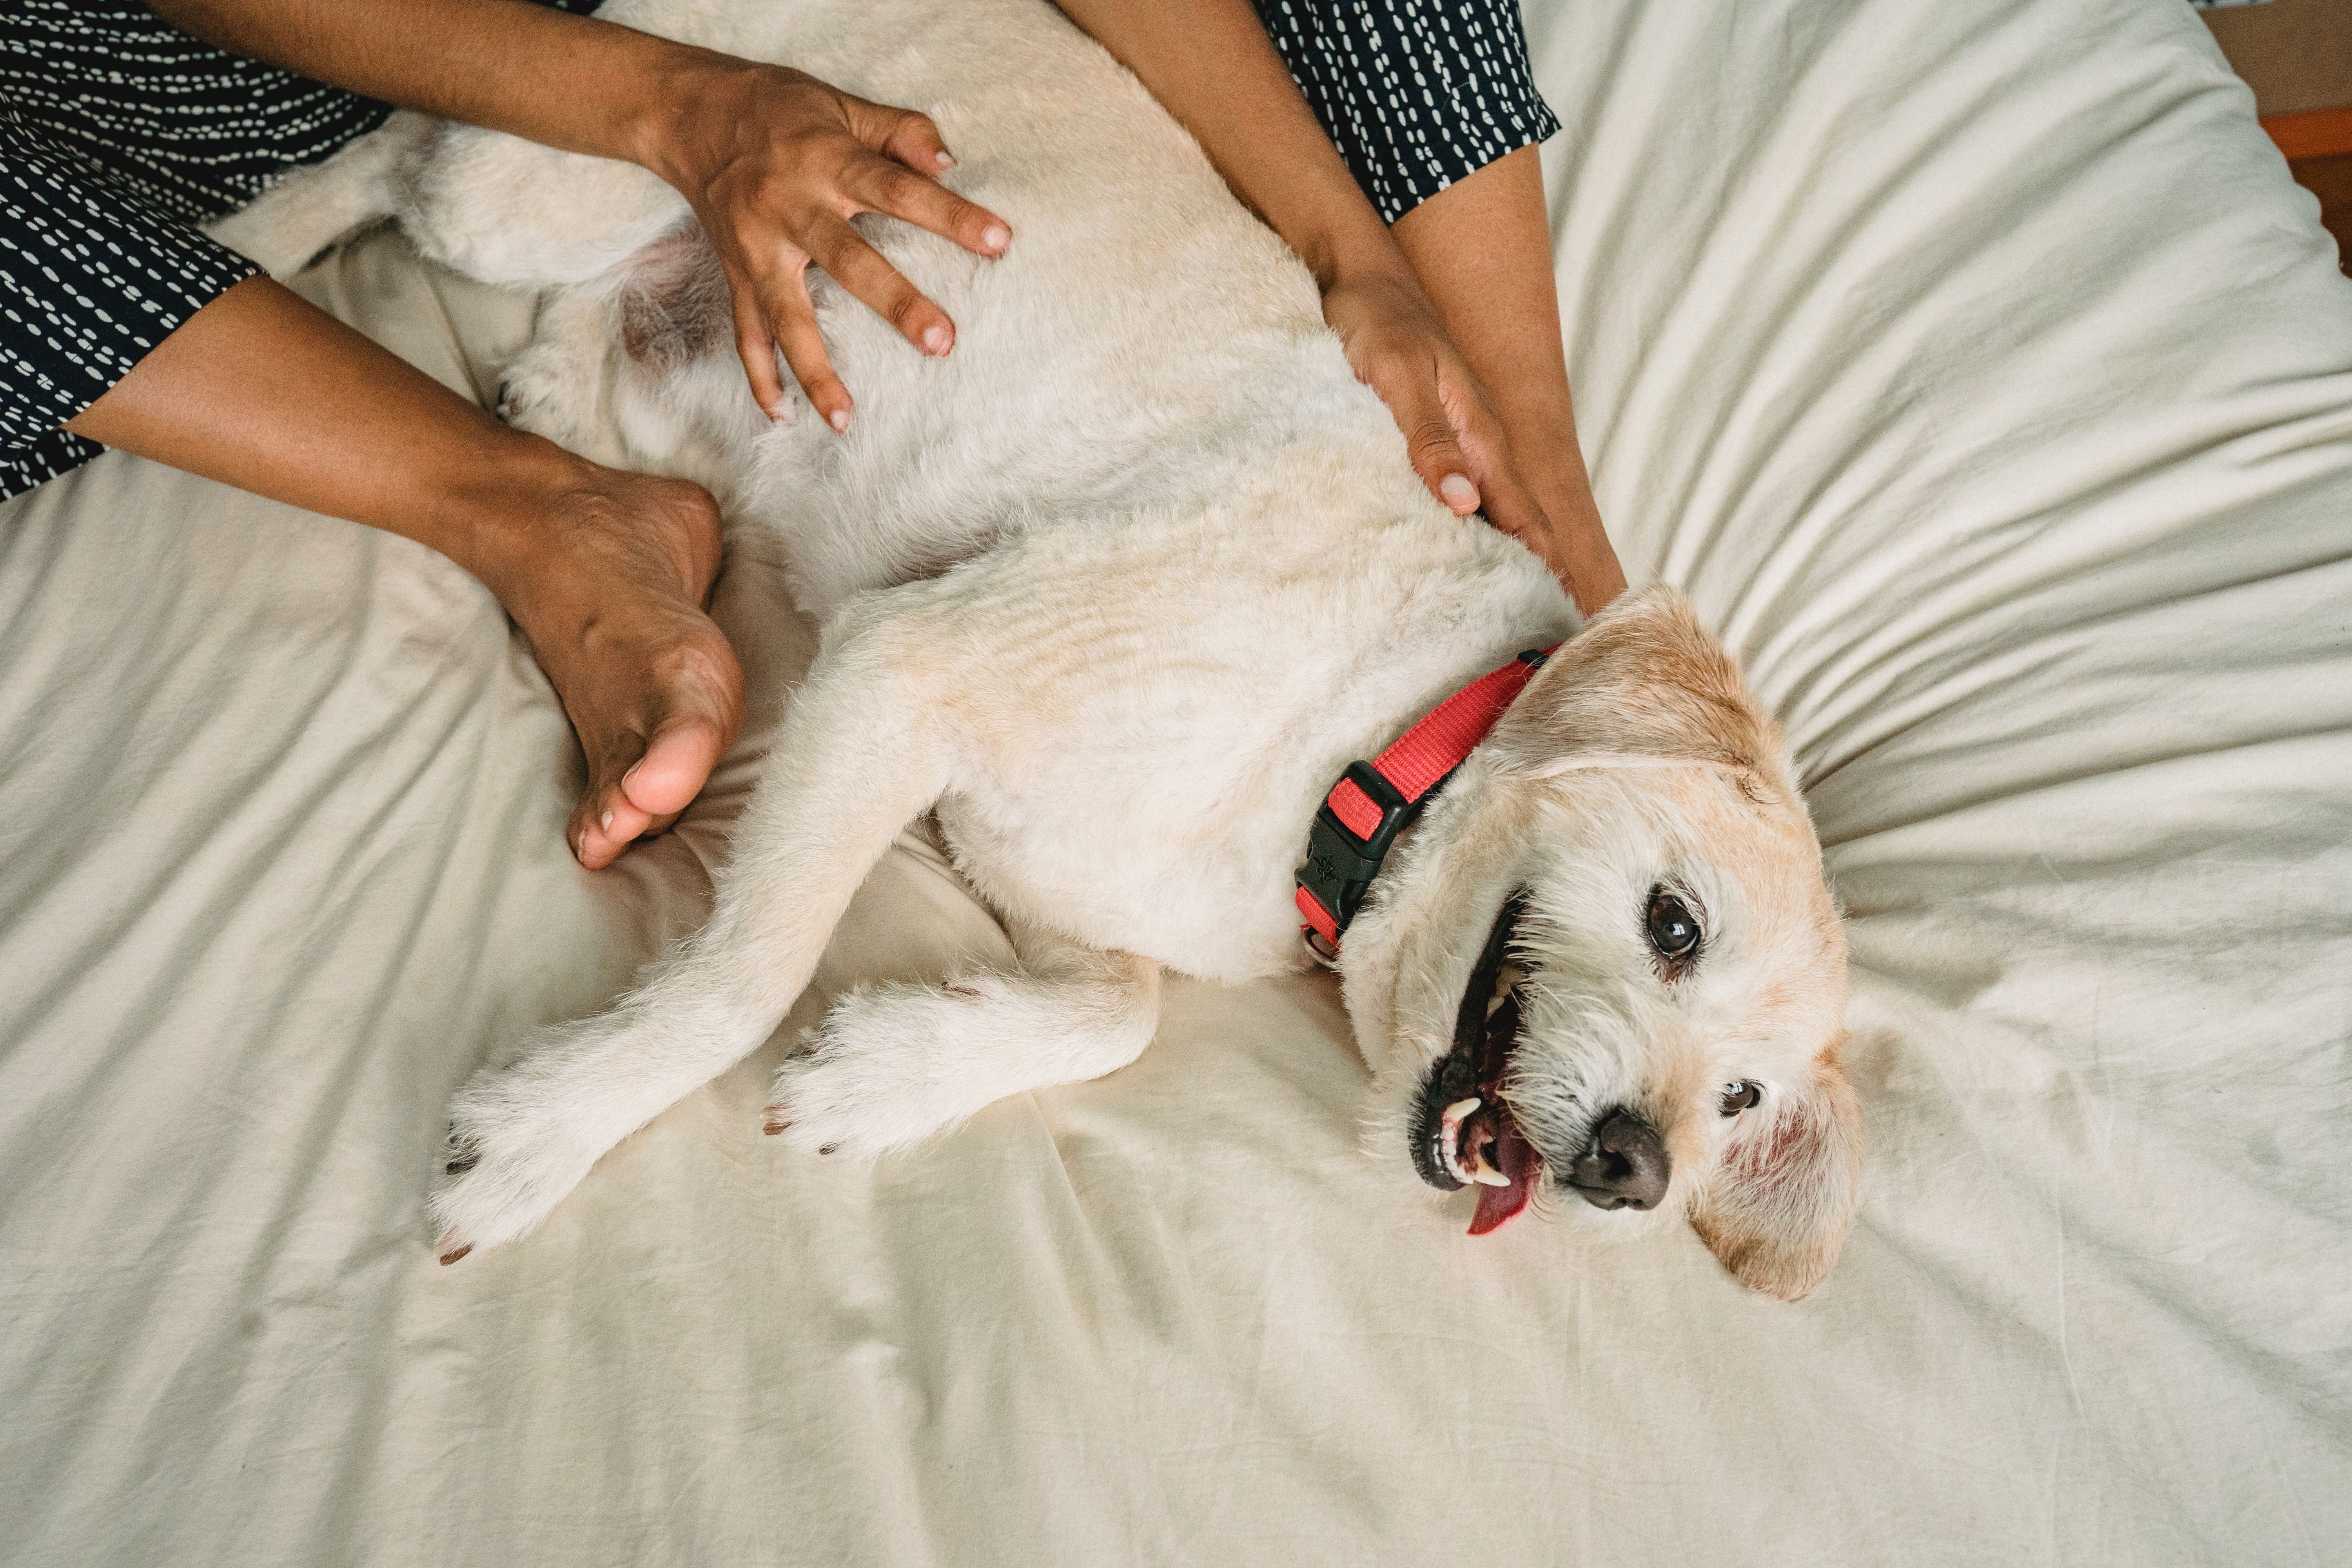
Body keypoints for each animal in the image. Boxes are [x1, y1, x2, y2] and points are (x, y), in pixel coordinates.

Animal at [239, 0, 1853, 1298]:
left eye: (1742, 1102)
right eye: (1673, 922)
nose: (1636, 1170)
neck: (1373, 748)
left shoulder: (1029, 858)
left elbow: (1115, 1016)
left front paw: (881, 1076)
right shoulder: (907, 666)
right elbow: (742, 977)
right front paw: (548, 1132)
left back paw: (554, 386)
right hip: (531, 185)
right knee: (391, 155)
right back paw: (246, 243)